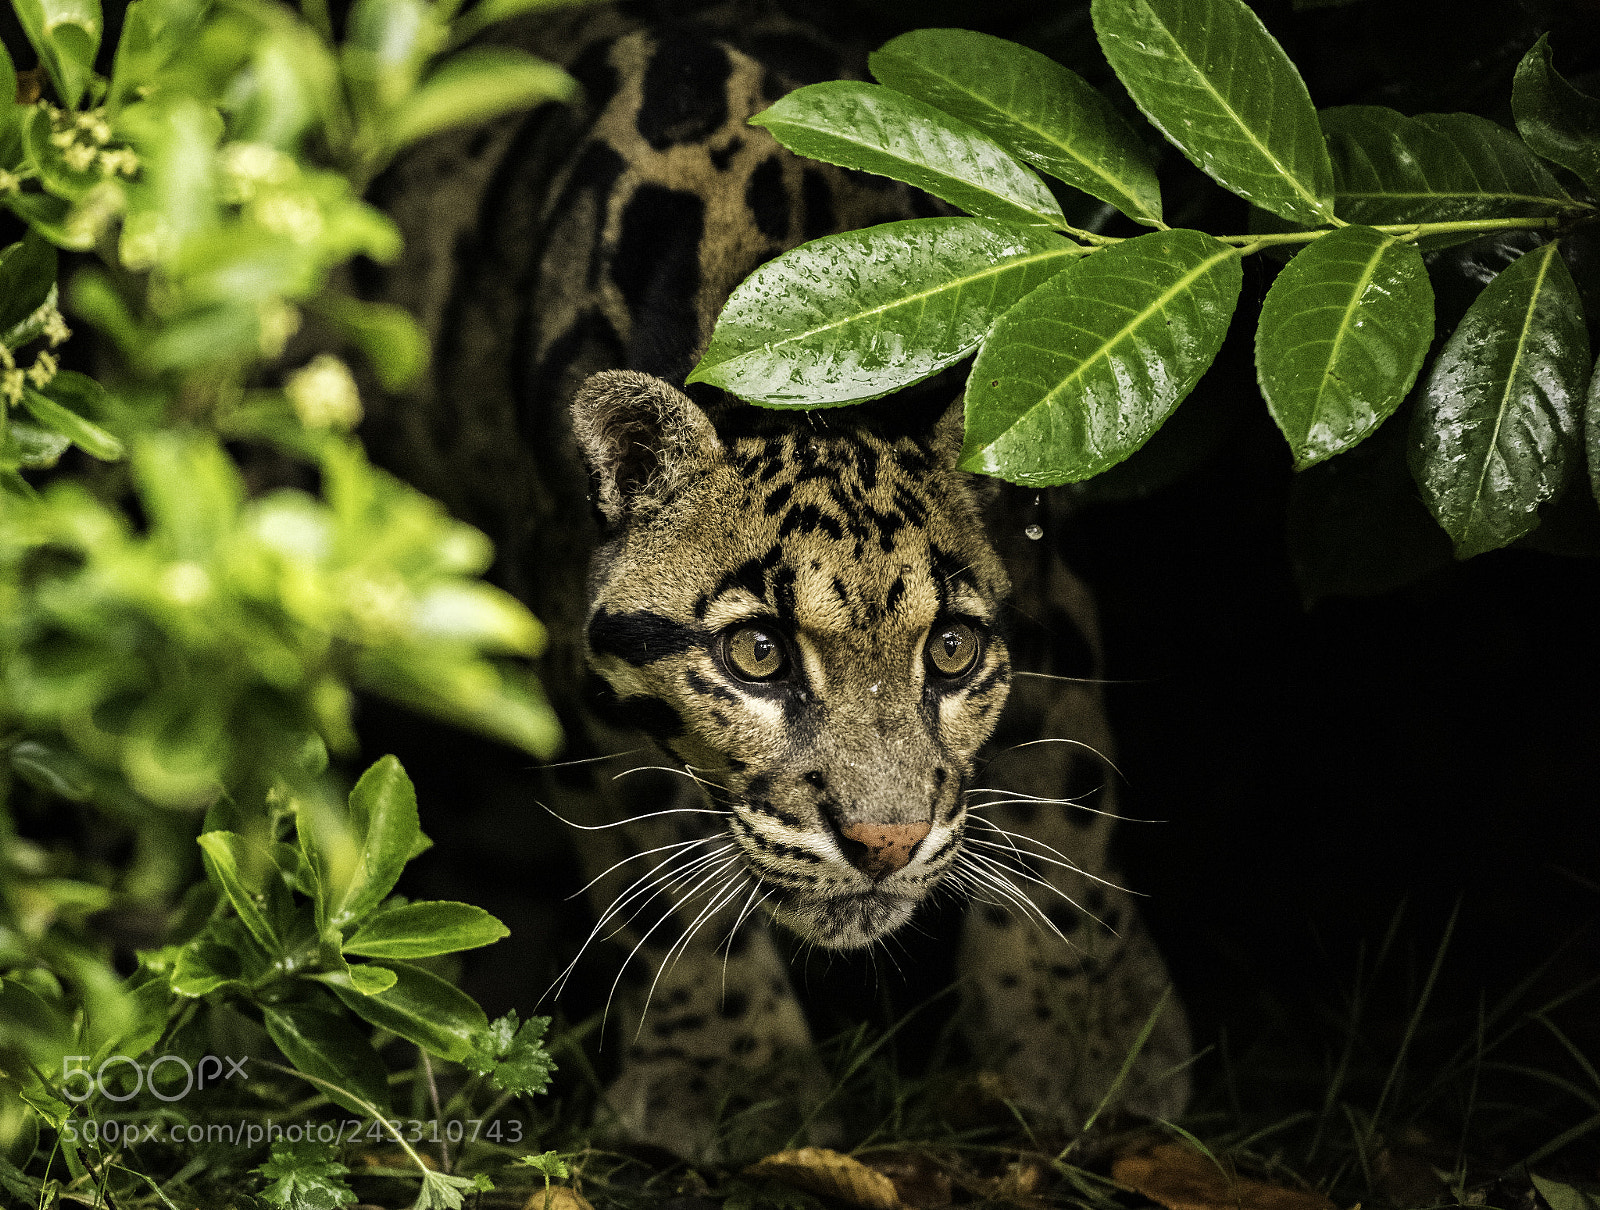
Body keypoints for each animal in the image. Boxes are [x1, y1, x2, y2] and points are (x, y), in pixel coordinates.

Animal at [357, 0, 1190, 1159]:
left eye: (950, 650)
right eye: (756, 654)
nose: (885, 843)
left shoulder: (1044, 582)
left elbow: (1068, 788)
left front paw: (1090, 1032)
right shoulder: (575, 650)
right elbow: (658, 868)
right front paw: (730, 1078)